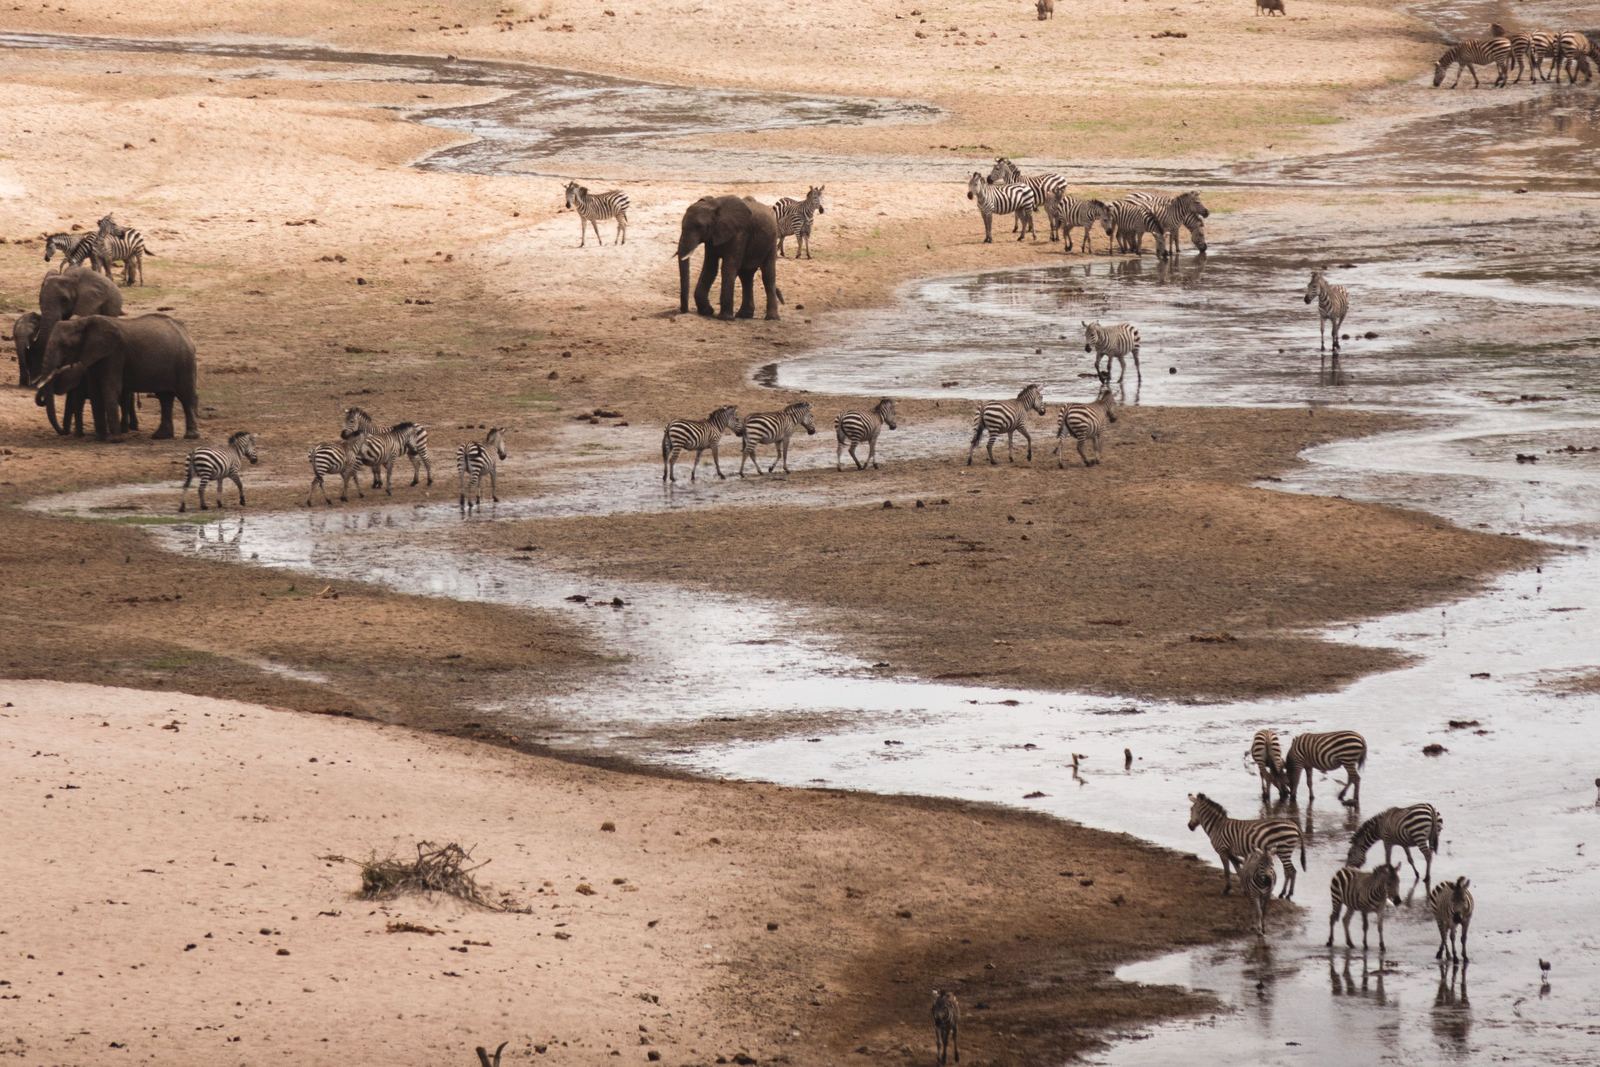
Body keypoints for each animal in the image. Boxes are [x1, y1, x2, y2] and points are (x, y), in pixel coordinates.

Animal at [34, 314, 199, 440]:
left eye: (65, 345)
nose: (62, 432)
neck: (84, 321)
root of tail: (186, 332)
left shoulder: (115, 353)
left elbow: (110, 387)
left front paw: (115, 439)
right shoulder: (94, 355)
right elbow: (95, 391)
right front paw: (101, 438)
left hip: (185, 361)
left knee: (185, 395)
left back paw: (190, 436)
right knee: (165, 398)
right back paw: (160, 436)